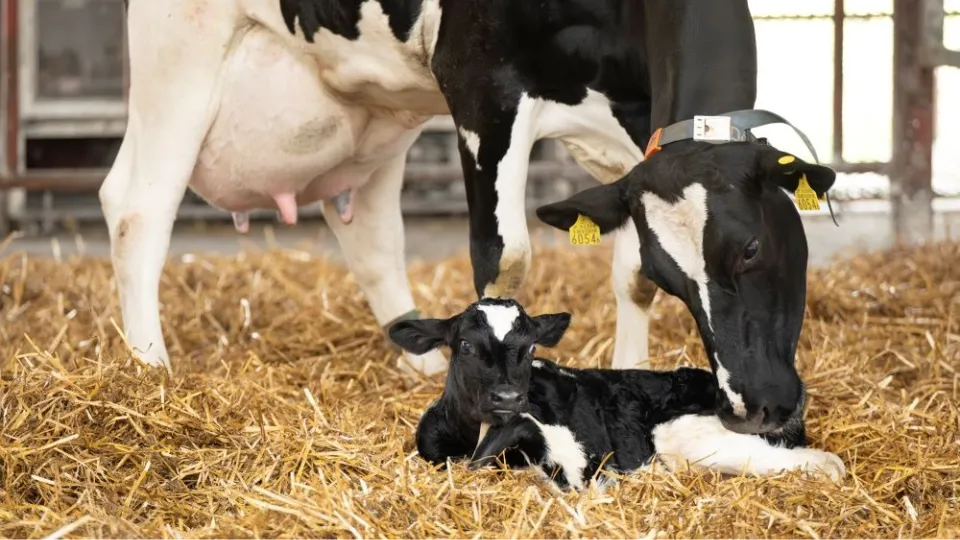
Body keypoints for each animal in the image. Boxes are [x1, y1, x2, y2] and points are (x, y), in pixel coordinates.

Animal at [386, 300, 844, 494]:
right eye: (463, 345)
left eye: (531, 347)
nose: (509, 397)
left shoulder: (577, 459)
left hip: (693, 438)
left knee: (826, 463)